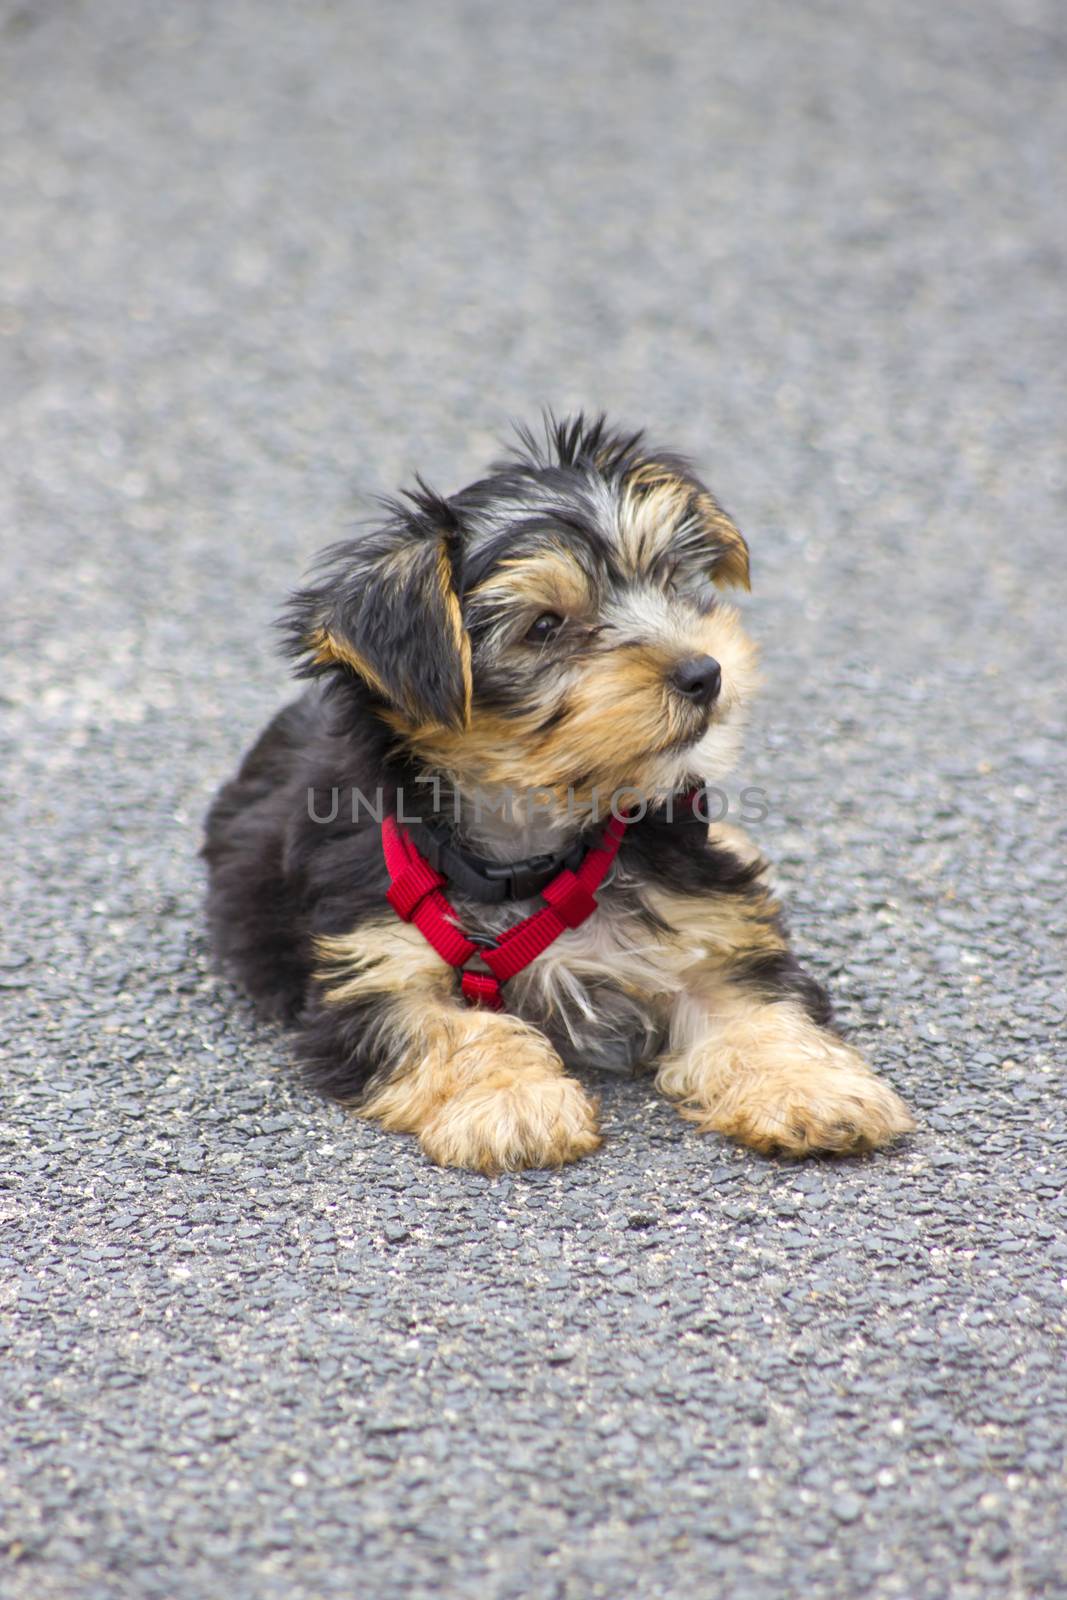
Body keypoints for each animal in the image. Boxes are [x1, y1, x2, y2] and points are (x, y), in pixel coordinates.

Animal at [204, 422, 915, 1177]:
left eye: (668, 580)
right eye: (544, 627)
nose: (704, 671)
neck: (532, 845)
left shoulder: (704, 934)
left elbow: (754, 1010)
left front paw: (812, 1090)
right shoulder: (373, 967)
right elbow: (451, 1028)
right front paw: (513, 1103)